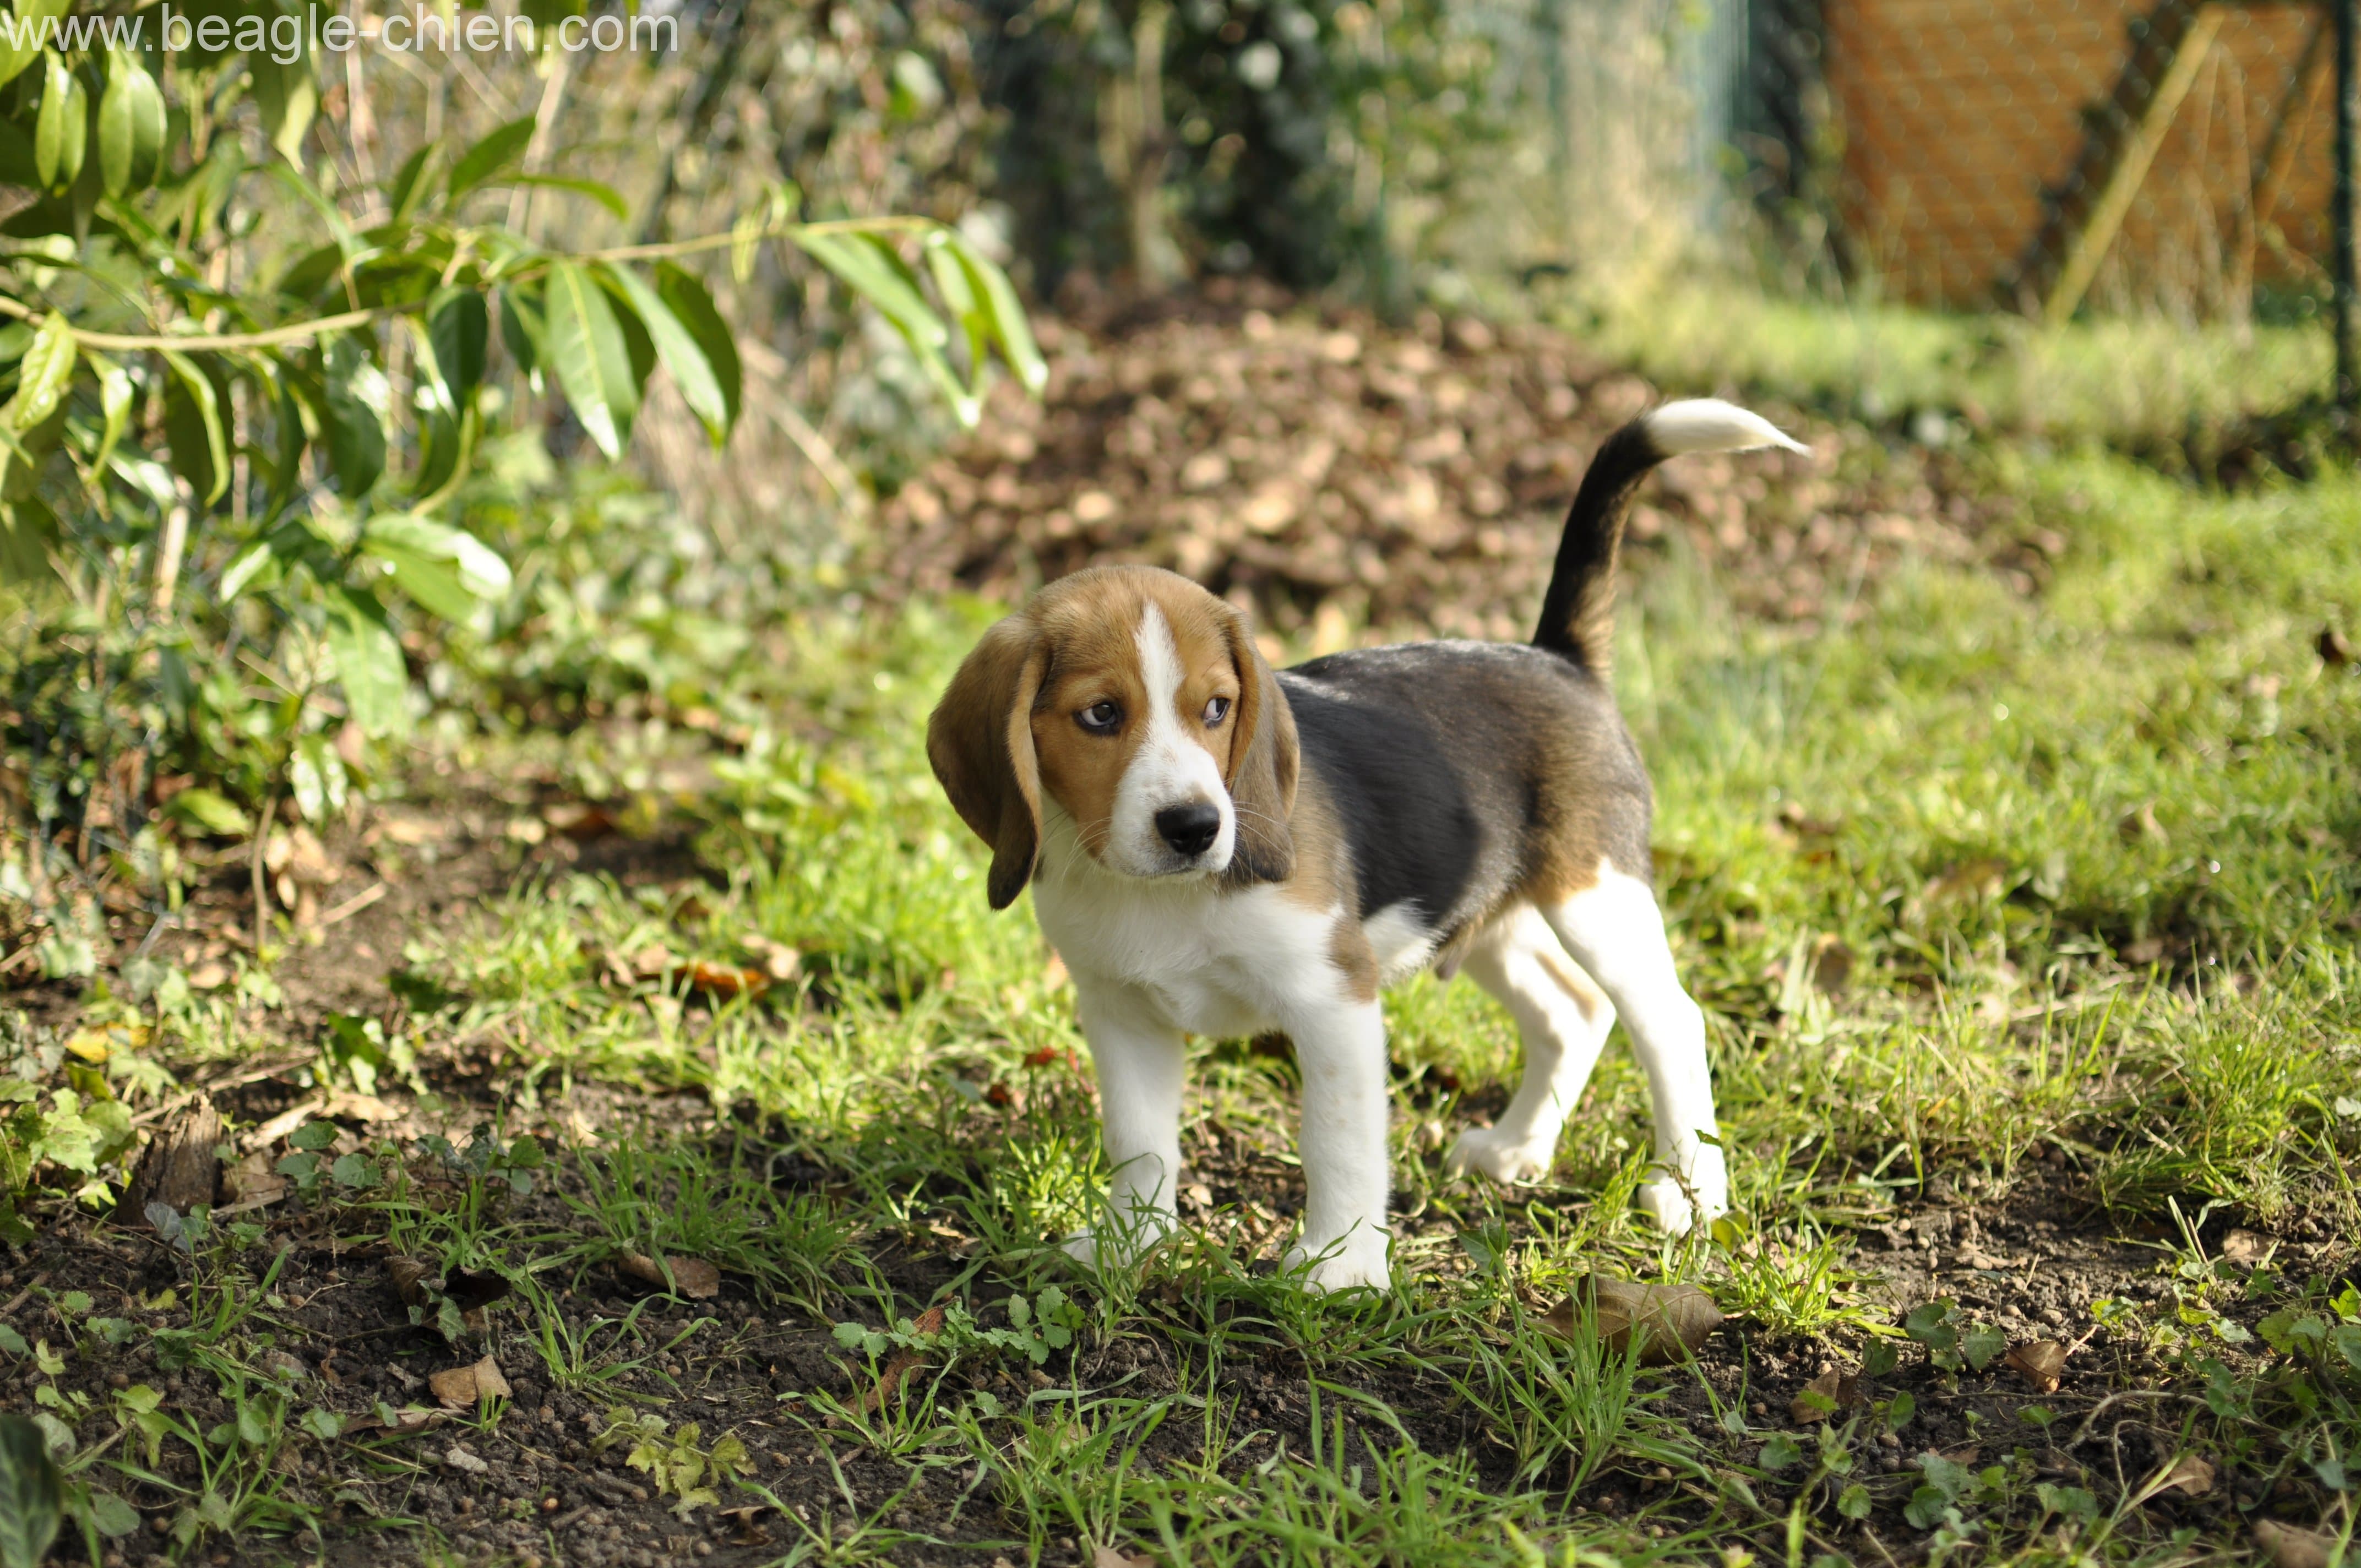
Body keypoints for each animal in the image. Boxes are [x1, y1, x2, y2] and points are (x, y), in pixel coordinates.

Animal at [925, 394, 1804, 1284]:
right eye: (1101, 715)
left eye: (1216, 708)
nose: (1196, 828)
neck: (1161, 895)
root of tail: (1556, 658)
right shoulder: (1121, 1011)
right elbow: (1140, 1143)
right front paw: (1129, 1244)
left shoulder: (1331, 995)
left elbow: (1335, 1142)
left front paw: (1339, 1271)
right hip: (1481, 911)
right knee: (1572, 1011)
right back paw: (1518, 1147)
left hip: (1596, 896)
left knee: (1669, 1022)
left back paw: (1687, 1192)